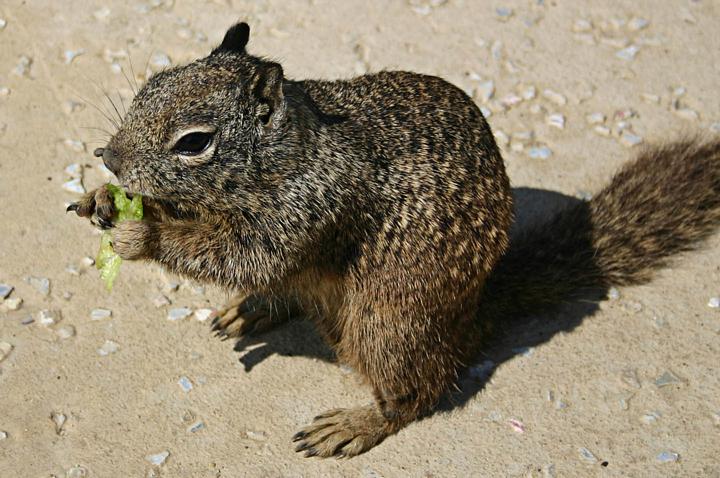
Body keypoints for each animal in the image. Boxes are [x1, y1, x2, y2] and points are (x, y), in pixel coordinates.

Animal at [70, 23, 720, 460]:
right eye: (149, 86)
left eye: (194, 141)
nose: (109, 156)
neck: (295, 148)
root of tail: (475, 309)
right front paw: (103, 199)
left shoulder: (311, 208)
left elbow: (246, 253)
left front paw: (141, 230)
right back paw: (254, 309)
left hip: (389, 325)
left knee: (419, 391)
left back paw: (358, 423)